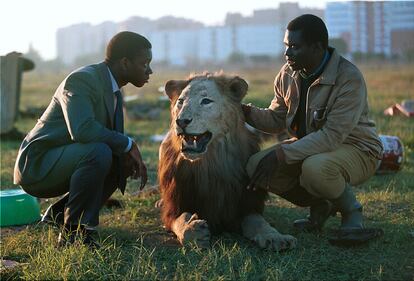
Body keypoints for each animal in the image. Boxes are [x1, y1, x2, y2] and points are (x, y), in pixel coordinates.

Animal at [157, 72, 296, 249]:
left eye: (206, 101)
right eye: (180, 101)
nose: (181, 121)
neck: (211, 162)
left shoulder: (245, 204)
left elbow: (260, 223)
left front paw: (276, 237)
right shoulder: (175, 205)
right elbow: (180, 220)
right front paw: (194, 231)